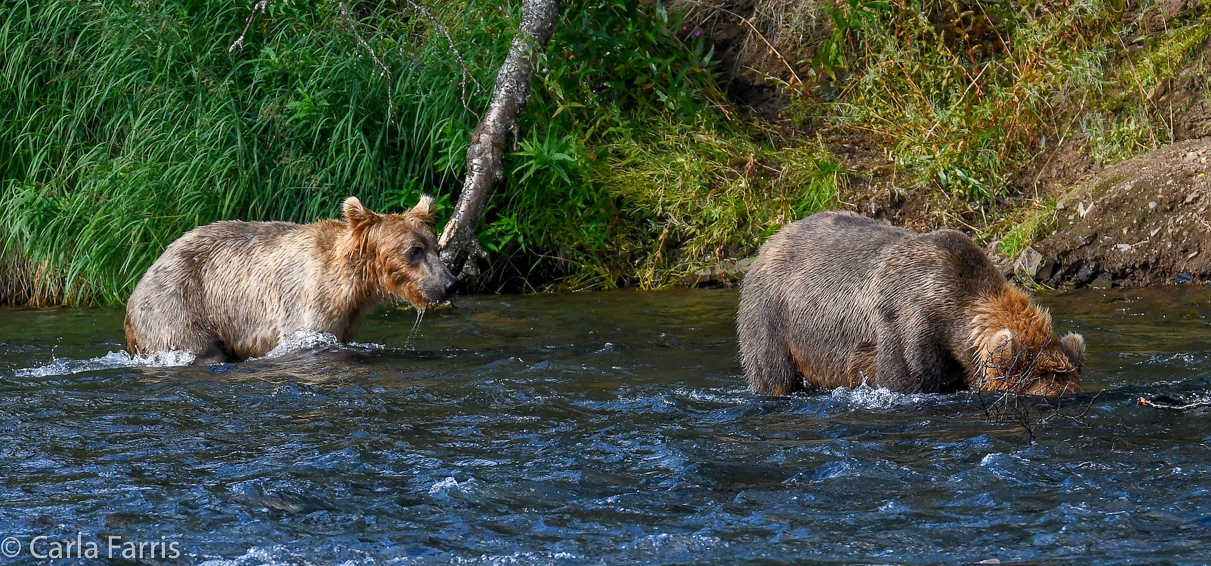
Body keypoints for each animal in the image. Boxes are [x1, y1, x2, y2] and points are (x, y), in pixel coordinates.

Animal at [124, 196, 455, 363]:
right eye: (413, 251)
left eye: (436, 247)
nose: (450, 283)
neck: (354, 284)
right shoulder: (310, 305)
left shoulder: (348, 317)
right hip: (177, 306)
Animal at [736, 213, 1089, 399]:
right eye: (1043, 391)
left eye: (1071, 389)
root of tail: (768, 242)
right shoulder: (909, 326)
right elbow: (902, 379)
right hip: (772, 315)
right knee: (773, 374)